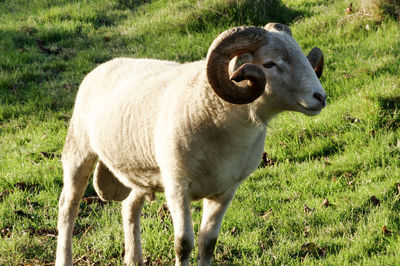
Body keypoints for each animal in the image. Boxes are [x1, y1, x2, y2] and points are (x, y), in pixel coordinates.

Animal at [55, 22, 324, 266]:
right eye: (269, 64)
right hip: (78, 150)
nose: (320, 97)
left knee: (129, 206)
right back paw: (64, 257)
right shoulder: (177, 186)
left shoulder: (225, 191)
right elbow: (183, 243)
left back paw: (134, 259)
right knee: (68, 208)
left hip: (143, 174)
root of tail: (105, 65)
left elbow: (208, 243)